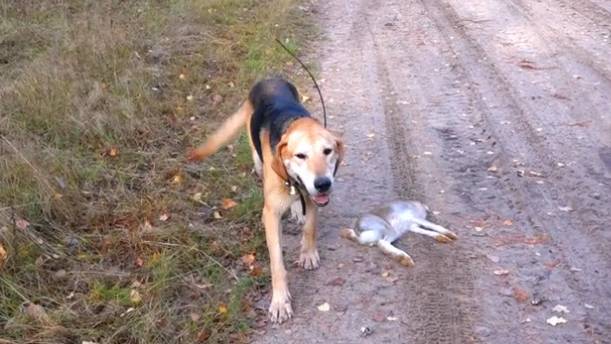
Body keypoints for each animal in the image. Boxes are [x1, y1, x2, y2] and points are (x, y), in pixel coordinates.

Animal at [189, 77, 344, 322]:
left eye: (328, 151)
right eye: (300, 155)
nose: (323, 184)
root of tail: (269, 78)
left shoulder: (312, 199)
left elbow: (310, 228)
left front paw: (308, 253)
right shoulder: (271, 213)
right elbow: (277, 262)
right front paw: (280, 301)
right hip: (258, 159)